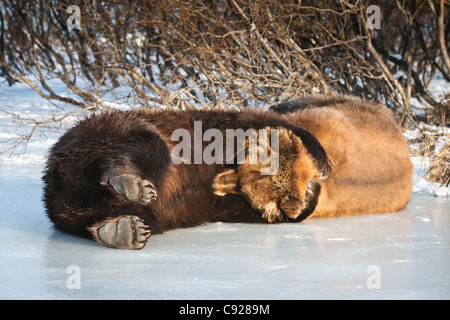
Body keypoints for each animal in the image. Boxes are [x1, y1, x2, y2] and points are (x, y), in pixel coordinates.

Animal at [42, 95, 412, 250]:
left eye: (245, 187)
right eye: (241, 171)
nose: (217, 184)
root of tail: (58, 179)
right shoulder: (229, 127)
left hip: (106, 202)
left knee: (90, 216)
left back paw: (120, 228)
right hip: (106, 131)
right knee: (139, 146)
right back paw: (128, 184)